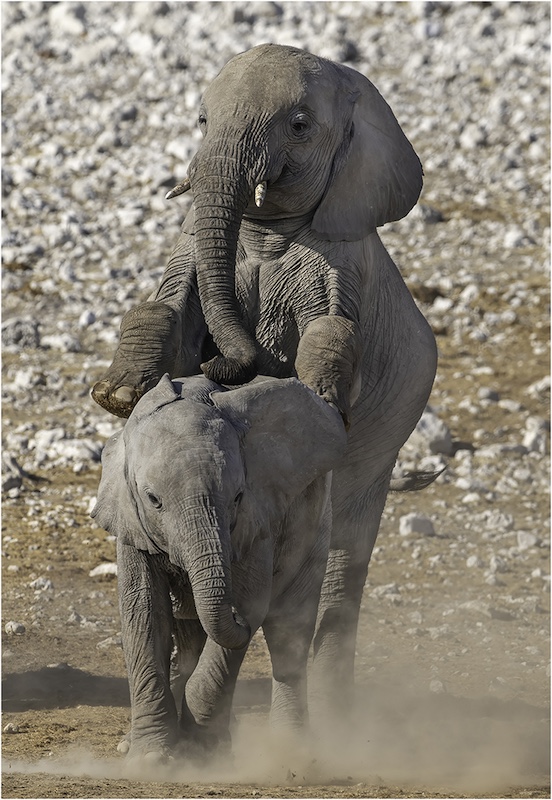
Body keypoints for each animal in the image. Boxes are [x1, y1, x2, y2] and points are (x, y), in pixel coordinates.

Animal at [91, 44, 437, 718]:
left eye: (299, 125)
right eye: (201, 120)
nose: (225, 367)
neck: (264, 230)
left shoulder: (340, 260)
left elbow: (330, 331)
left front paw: (319, 396)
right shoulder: (186, 247)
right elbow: (168, 310)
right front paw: (121, 392)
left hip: (390, 437)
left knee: (342, 557)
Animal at [92, 373, 348, 759]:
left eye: (238, 497)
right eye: (153, 500)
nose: (236, 615)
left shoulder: (257, 518)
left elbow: (248, 604)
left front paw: (201, 750)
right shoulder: (131, 523)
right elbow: (144, 611)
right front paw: (151, 756)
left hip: (317, 528)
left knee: (289, 631)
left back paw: (288, 748)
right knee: (190, 642)